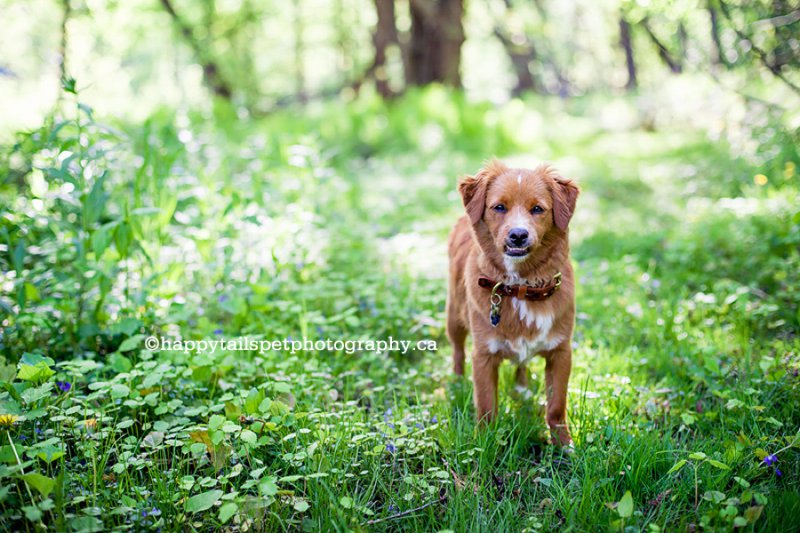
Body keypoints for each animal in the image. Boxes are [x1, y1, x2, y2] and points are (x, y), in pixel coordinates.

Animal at [446, 159, 580, 444]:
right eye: (499, 207)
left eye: (537, 209)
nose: (518, 235)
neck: (521, 287)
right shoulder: (483, 355)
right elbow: (486, 406)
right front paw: (484, 444)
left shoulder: (561, 353)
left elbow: (556, 406)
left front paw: (564, 445)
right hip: (453, 317)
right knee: (457, 352)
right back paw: (457, 383)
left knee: (522, 363)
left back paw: (521, 389)